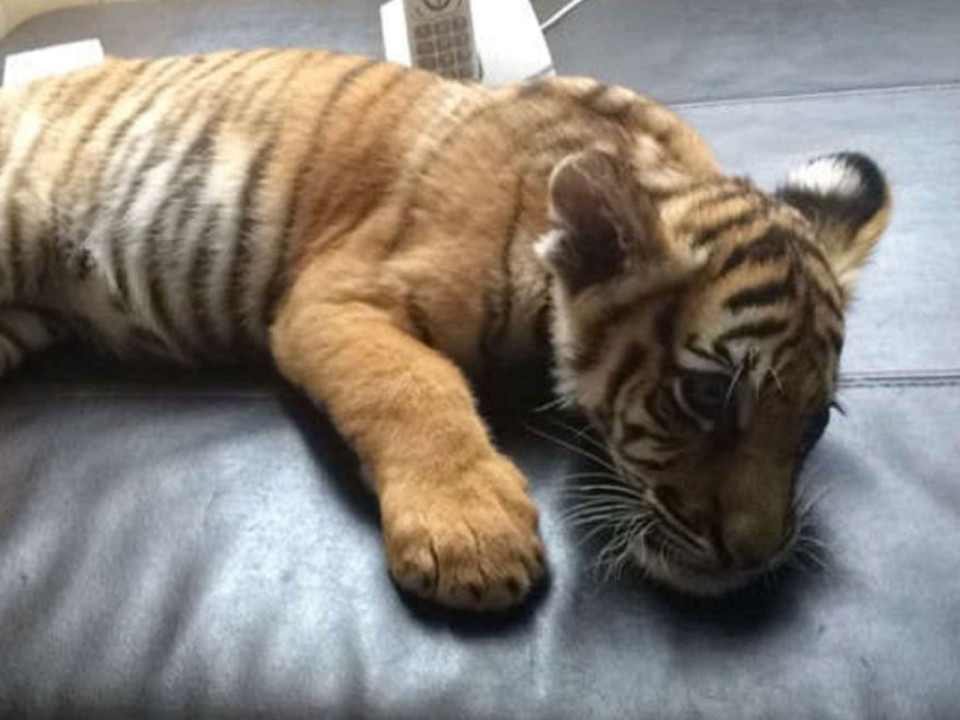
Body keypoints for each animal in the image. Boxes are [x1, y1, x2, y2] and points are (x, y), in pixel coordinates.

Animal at [0, 48, 890, 610]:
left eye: (814, 422)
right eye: (706, 397)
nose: (758, 556)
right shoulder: (337, 298)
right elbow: (412, 387)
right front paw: (471, 535)